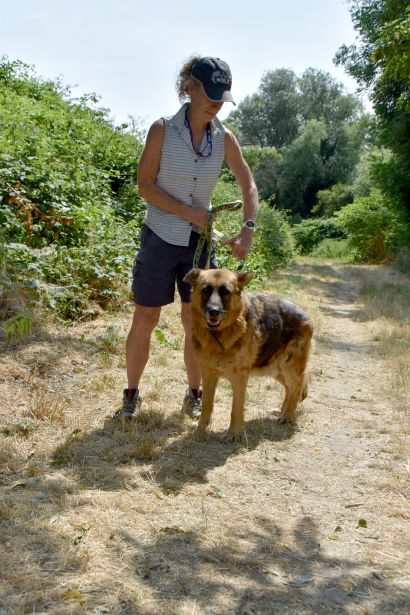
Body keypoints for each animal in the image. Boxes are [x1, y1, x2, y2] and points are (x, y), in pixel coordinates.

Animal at [184, 268, 313, 438]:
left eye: (226, 292)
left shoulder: (239, 378)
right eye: (206, 290)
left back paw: (286, 416)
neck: (218, 334)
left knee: (297, 388)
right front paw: (200, 429)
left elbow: (236, 409)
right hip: (275, 368)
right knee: (289, 388)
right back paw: (281, 411)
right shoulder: (208, 374)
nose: (214, 312)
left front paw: (233, 434)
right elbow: (207, 404)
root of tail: (305, 314)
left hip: (290, 366)